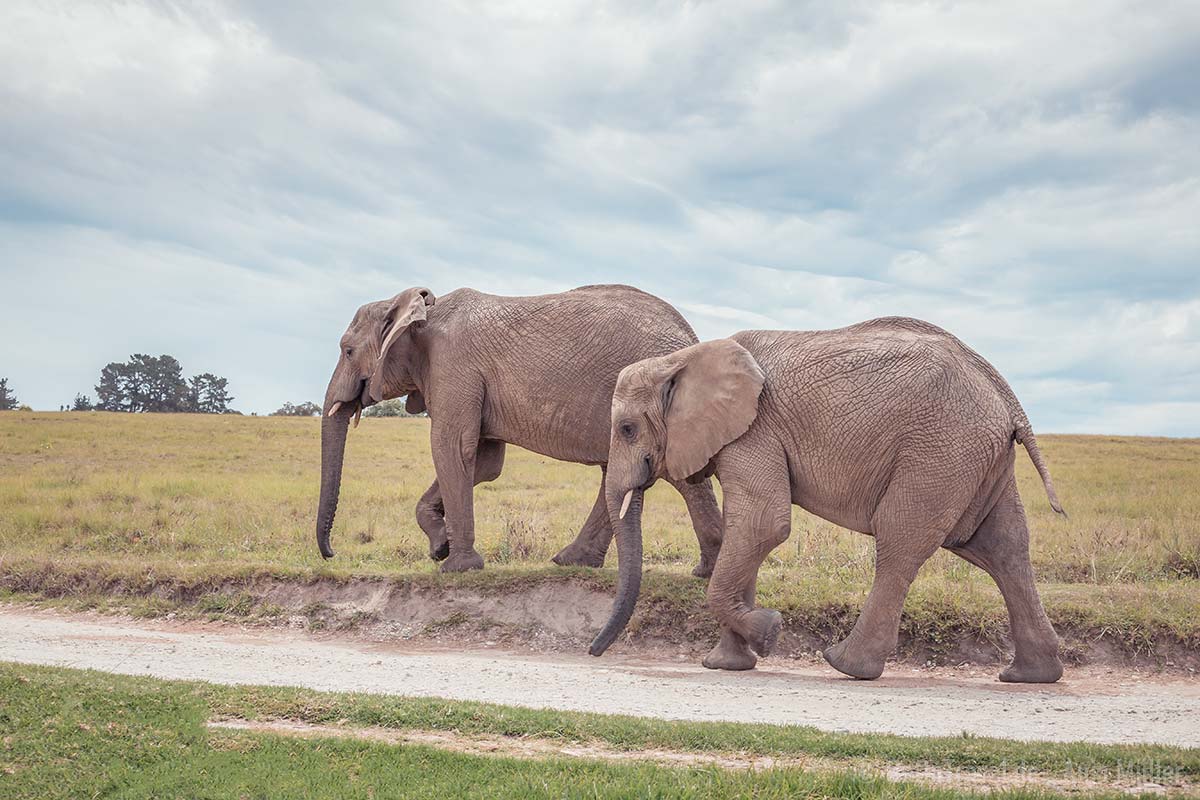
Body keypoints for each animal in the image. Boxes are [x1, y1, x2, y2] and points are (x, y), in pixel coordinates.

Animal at [314, 281, 720, 575]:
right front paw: (440, 547)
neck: (421, 311)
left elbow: (452, 447)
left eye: (347, 351)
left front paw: (456, 567)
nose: (332, 554)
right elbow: (483, 462)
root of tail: (691, 338)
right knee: (618, 473)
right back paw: (572, 562)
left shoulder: (454, 367)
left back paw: (704, 571)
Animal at [590, 316, 1070, 686]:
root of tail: (1006, 397)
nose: (594, 652)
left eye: (628, 429)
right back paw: (1029, 675)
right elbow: (746, 531)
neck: (683, 359)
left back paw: (846, 665)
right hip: (977, 458)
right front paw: (727, 664)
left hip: (941, 451)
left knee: (900, 541)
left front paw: (770, 632)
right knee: (1001, 547)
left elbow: (763, 524)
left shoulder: (755, 430)